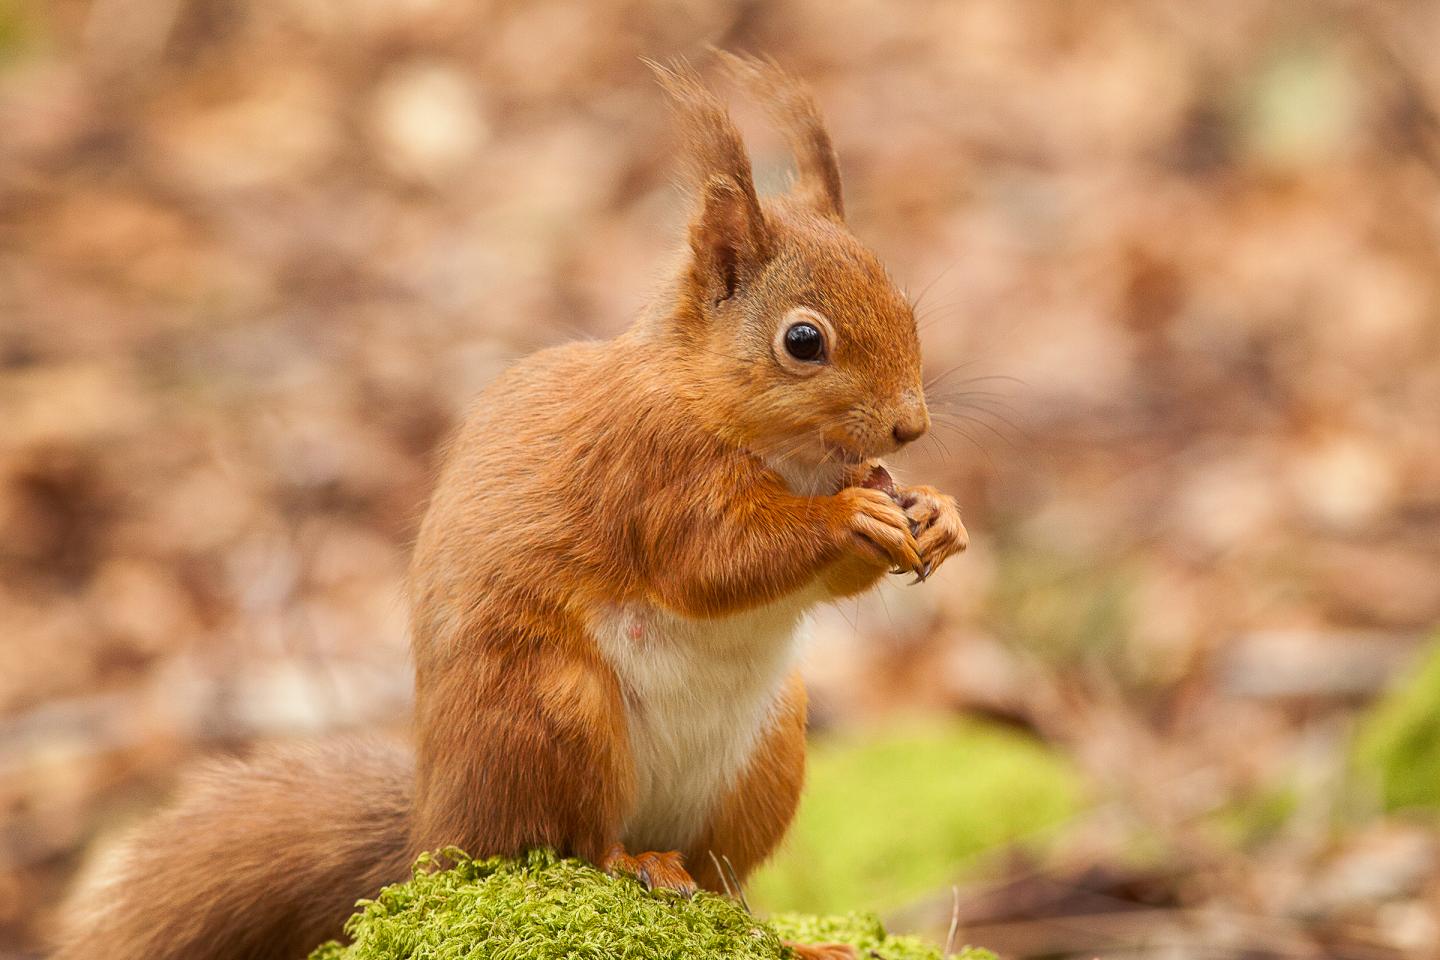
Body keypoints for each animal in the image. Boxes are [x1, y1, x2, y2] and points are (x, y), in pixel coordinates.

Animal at [53, 56, 967, 960]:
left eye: (904, 304)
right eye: (803, 342)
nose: (911, 425)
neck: (778, 450)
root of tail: (439, 832)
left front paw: (938, 514)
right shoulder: (645, 470)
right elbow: (710, 562)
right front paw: (851, 520)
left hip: (769, 753)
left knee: (726, 889)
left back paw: (787, 936)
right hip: (555, 714)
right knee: (572, 842)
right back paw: (635, 862)